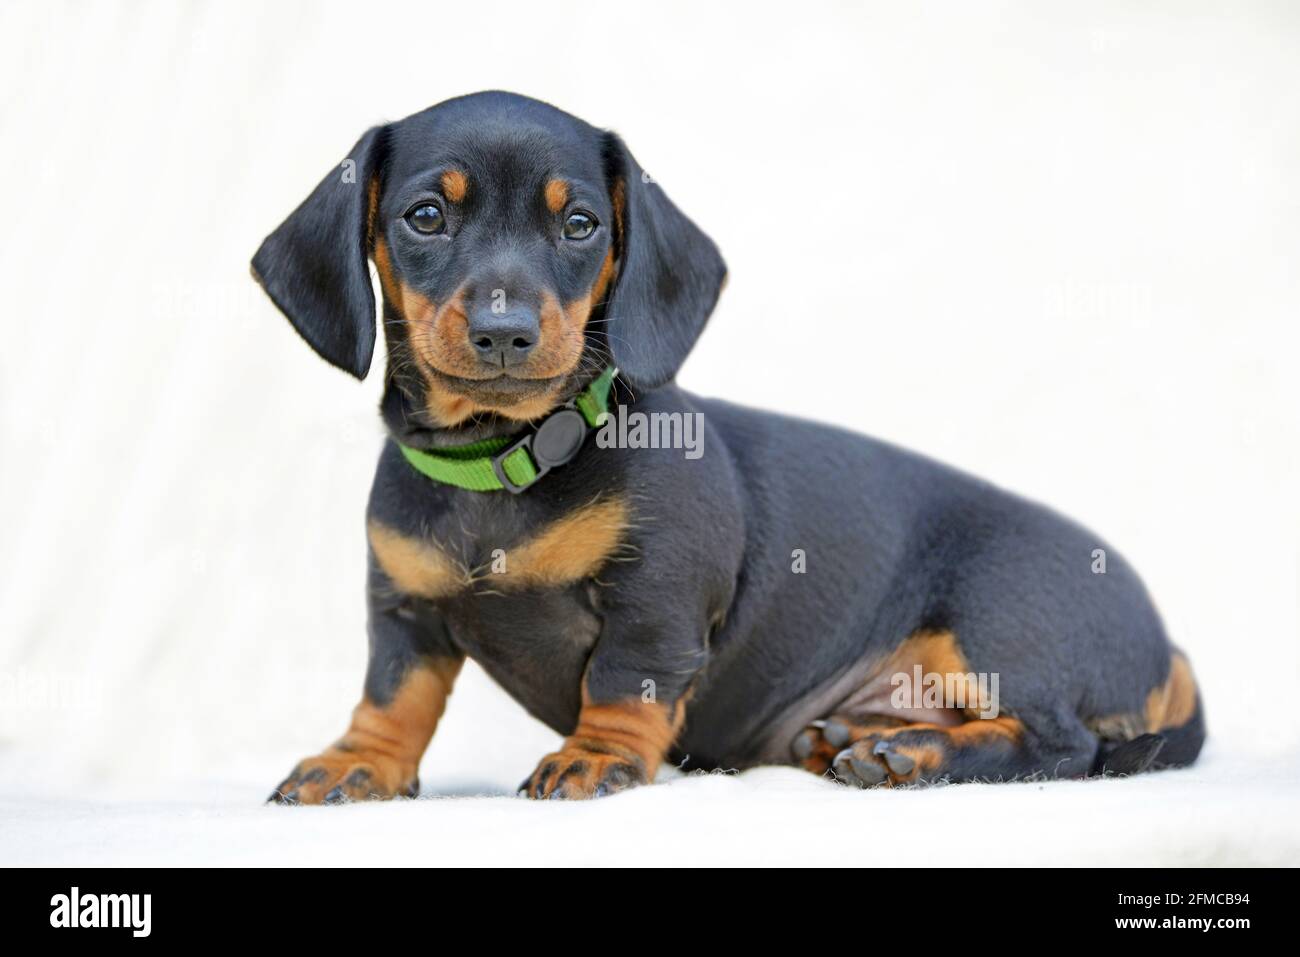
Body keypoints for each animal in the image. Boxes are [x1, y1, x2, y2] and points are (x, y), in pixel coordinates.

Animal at [253, 93, 1206, 806]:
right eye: (425, 216)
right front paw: (359, 762)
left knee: (1061, 746)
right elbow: (394, 692)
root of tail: (1169, 646)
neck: (507, 456)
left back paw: (916, 756)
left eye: (580, 225)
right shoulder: (404, 609)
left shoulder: (657, 595)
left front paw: (598, 754)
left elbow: (624, 678)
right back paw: (862, 737)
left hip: (996, 623)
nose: (504, 332)